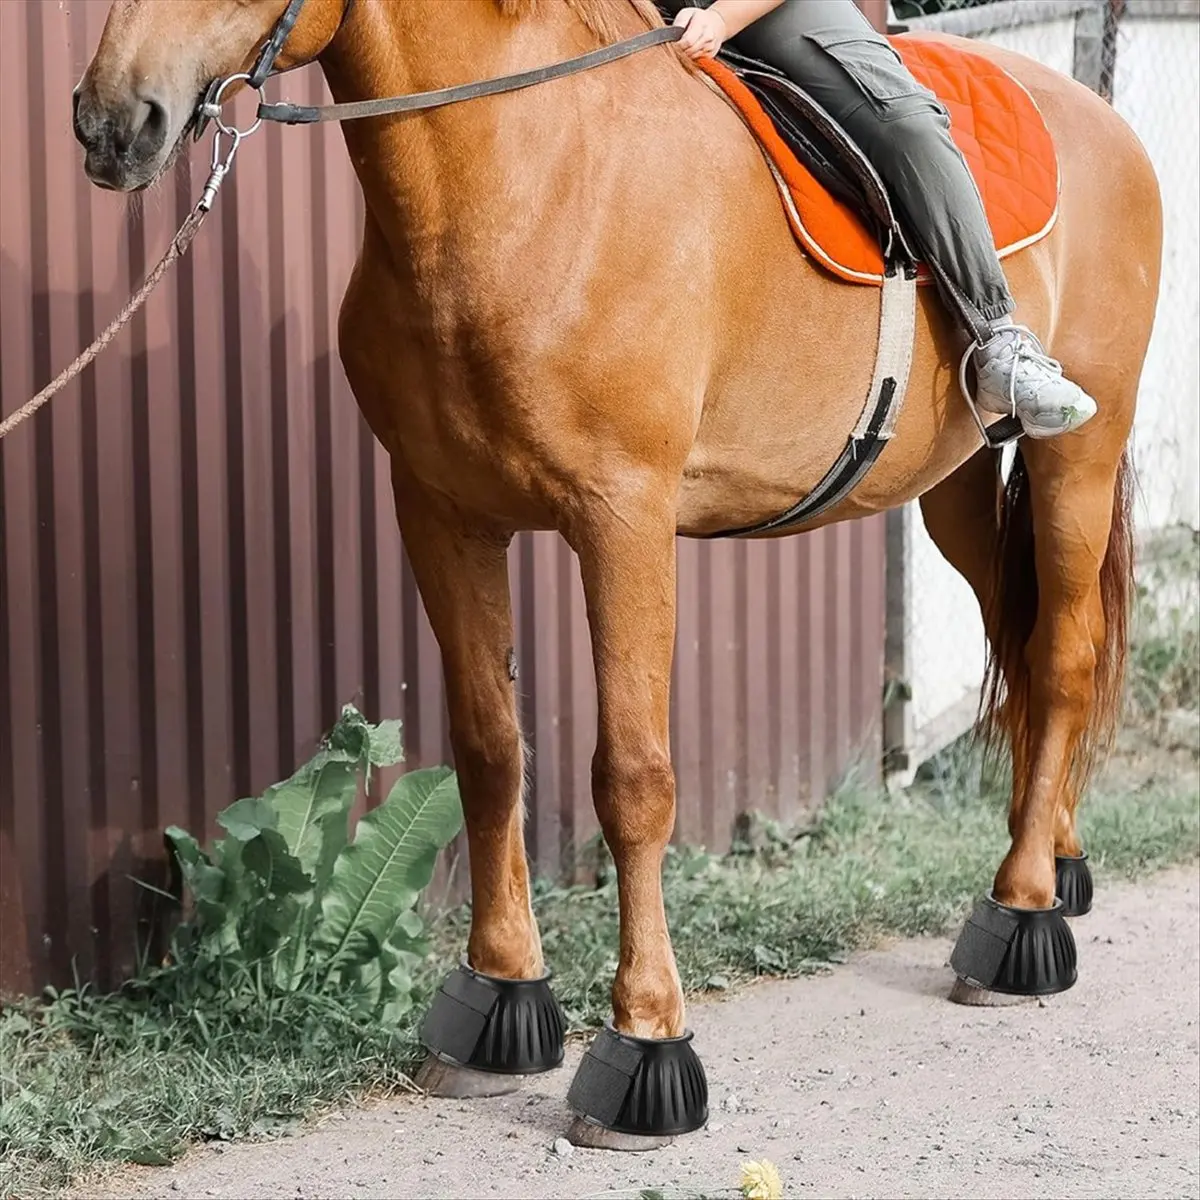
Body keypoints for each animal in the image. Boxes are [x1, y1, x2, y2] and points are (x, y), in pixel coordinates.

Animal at [74, 0, 1161, 1147]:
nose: (111, 123)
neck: (534, 177)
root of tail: (1101, 122)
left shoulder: (624, 521)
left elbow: (633, 779)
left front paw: (645, 1047)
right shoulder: (442, 516)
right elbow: (490, 752)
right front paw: (499, 1002)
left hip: (1076, 459)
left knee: (1065, 657)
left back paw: (1017, 917)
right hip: (953, 481)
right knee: (1028, 646)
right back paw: (1053, 870)